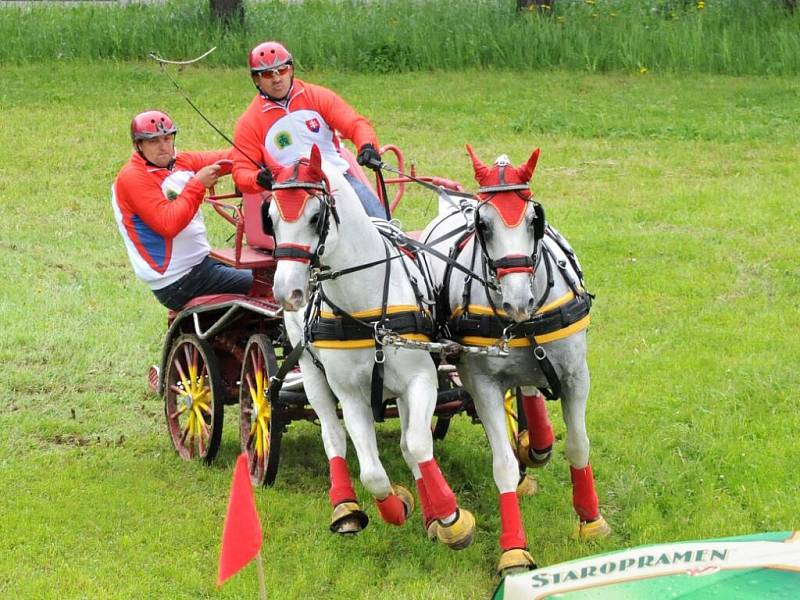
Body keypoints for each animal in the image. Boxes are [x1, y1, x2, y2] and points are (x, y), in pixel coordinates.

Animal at [266, 145, 476, 548]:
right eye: (270, 217)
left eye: (315, 216)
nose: (287, 292)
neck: (366, 305)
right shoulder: (351, 396)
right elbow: (373, 473)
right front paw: (397, 506)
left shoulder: (420, 381)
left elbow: (417, 446)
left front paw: (447, 516)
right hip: (312, 375)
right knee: (332, 436)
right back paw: (345, 508)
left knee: (407, 443)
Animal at [418, 145, 612, 572]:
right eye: (484, 224)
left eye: (534, 219)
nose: (518, 300)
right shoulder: (483, 385)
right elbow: (502, 464)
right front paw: (513, 549)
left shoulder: (576, 375)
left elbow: (578, 445)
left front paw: (591, 519)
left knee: (529, 392)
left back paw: (534, 443)